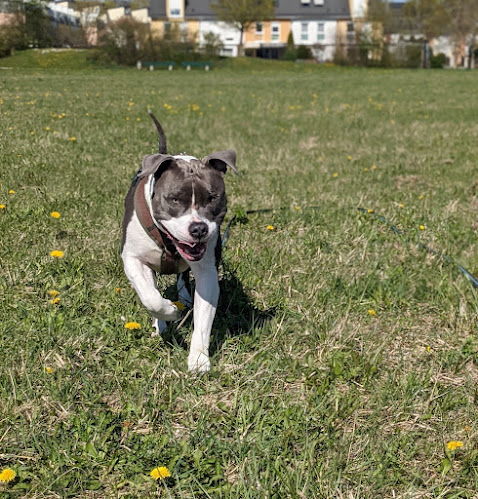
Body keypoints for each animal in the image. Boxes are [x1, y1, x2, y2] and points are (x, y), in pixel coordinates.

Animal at [121, 111, 237, 374]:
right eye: (174, 199)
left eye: (212, 198)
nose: (199, 228)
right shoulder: (132, 258)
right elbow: (151, 297)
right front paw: (168, 314)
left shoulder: (207, 271)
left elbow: (203, 317)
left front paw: (199, 359)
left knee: (183, 276)